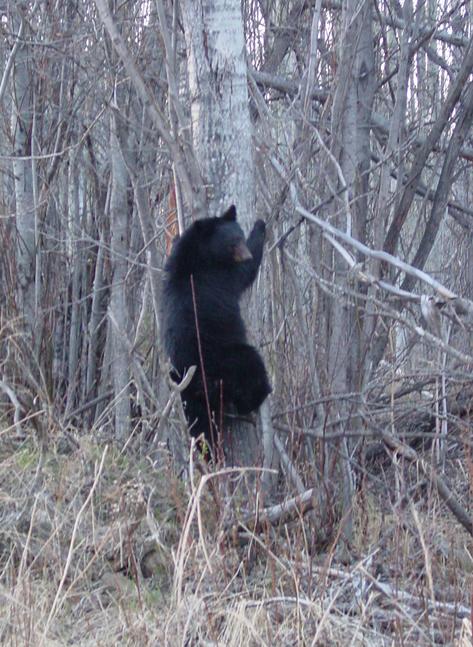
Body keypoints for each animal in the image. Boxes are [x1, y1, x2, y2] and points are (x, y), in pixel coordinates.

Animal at [161, 205, 270, 448]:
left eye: (239, 236)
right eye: (233, 242)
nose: (246, 254)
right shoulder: (220, 275)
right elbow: (245, 274)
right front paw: (260, 225)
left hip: (187, 396)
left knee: (198, 423)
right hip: (227, 359)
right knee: (252, 365)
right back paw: (259, 396)